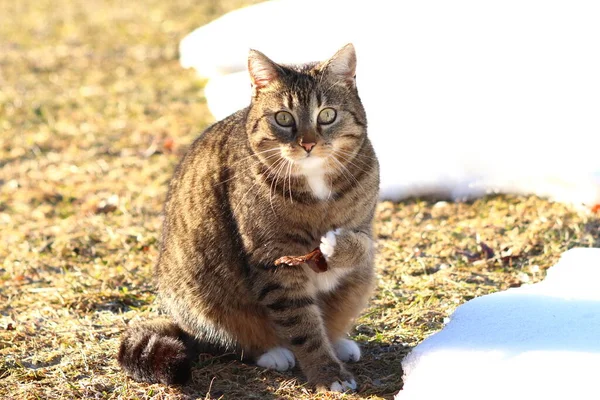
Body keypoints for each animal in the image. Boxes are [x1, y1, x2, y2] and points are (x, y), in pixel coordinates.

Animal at [118, 43, 380, 390]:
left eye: (327, 115)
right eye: (283, 117)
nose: (308, 143)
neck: (314, 182)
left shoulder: (363, 225)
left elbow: (361, 245)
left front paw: (336, 246)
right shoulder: (274, 260)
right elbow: (303, 328)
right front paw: (327, 373)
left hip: (360, 283)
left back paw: (340, 342)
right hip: (203, 297)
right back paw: (273, 352)